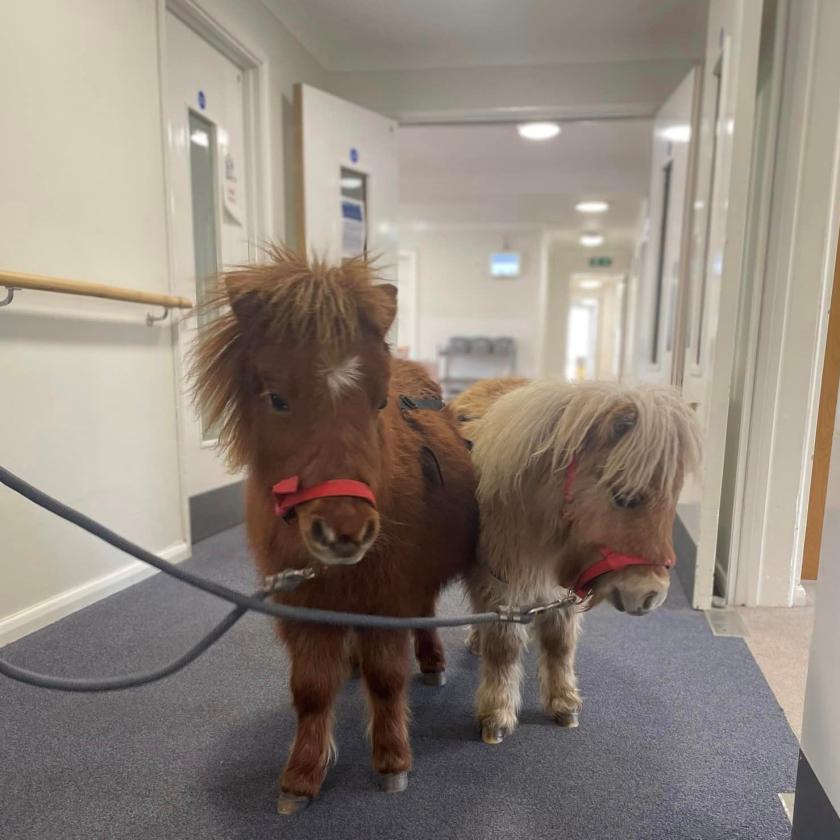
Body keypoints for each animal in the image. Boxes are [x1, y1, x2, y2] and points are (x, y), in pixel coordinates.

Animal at [193, 249, 476, 812]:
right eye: (277, 399)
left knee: (424, 617)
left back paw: (431, 663)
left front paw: (392, 761)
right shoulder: (300, 607)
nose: (346, 531)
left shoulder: (389, 598)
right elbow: (310, 689)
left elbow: (388, 680)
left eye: (379, 400)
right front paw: (302, 776)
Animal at [456, 378, 700, 740]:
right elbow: (503, 649)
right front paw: (496, 714)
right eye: (623, 497)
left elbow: (560, 645)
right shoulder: (501, 588)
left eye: (671, 502)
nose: (652, 596)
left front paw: (563, 703)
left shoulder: (560, 594)